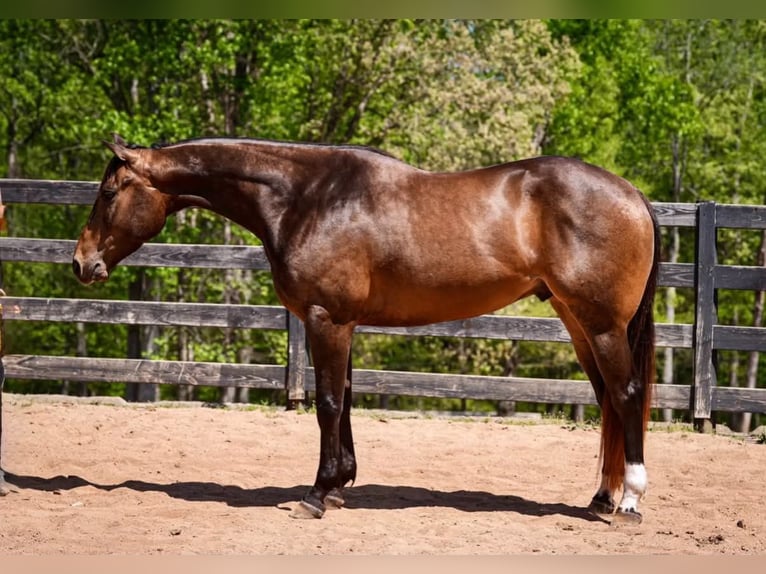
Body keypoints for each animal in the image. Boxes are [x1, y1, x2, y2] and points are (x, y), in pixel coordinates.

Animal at [73, 134, 659, 525]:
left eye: (109, 192)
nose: (81, 263)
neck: (306, 197)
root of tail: (632, 194)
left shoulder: (325, 320)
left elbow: (328, 405)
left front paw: (315, 496)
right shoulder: (342, 322)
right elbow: (347, 400)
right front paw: (338, 487)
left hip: (602, 325)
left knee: (626, 395)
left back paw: (629, 500)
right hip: (577, 322)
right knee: (607, 401)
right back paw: (600, 499)